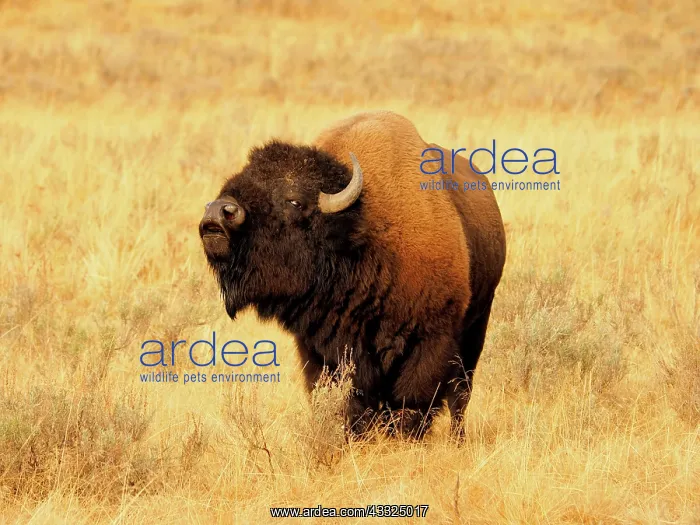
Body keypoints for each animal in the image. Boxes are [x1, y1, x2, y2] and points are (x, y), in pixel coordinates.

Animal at [199, 111, 506, 439]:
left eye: (294, 200)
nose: (218, 212)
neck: (361, 234)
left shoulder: (430, 340)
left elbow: (413, 401)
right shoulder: (320, 350)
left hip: (476, 328)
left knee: (460, 394)